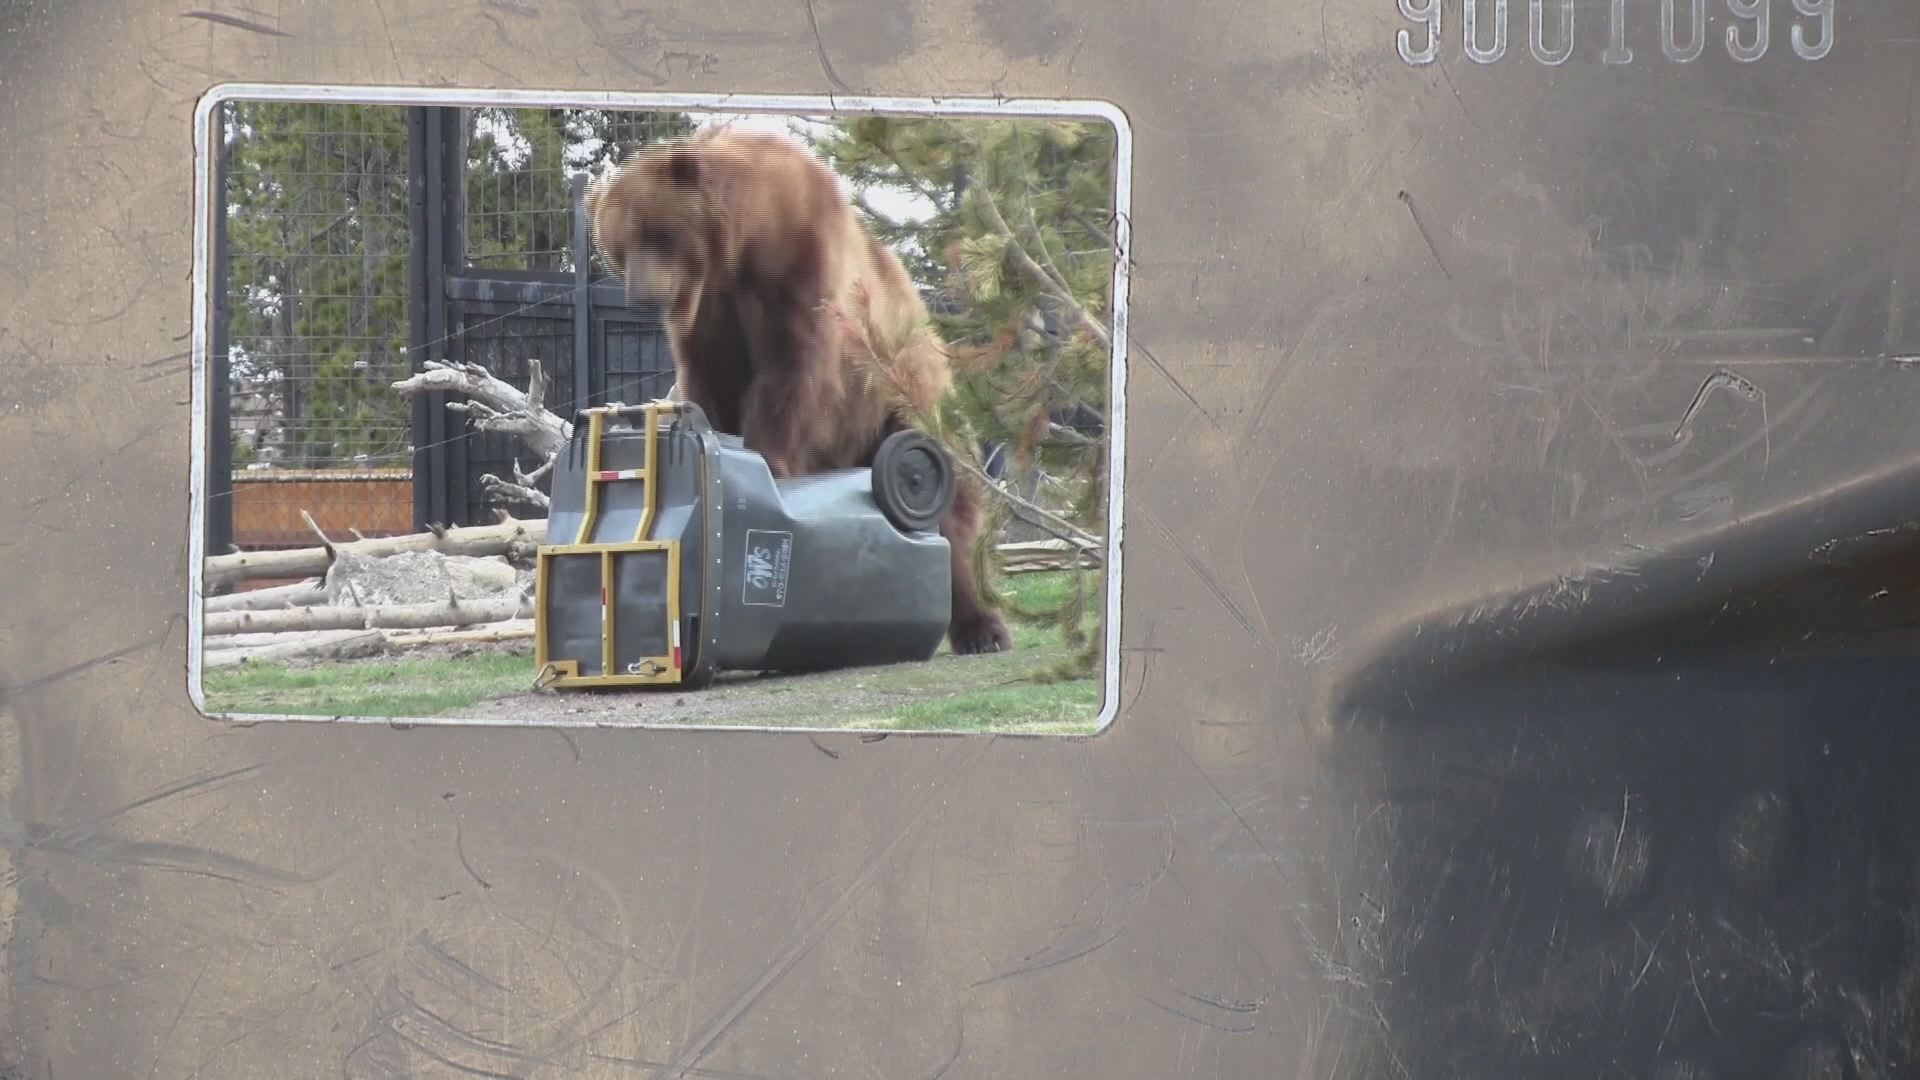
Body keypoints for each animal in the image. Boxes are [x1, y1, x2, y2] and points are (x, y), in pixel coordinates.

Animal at [584, 125, 1014, 656]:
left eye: (656, 232)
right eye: (617, 246)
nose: (642, 298)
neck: (746, 240)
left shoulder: (801, 267)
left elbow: (795, 372)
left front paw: (768, 461)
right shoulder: (708, 318)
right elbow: (709, 382)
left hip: (907, 401)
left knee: (956, 519)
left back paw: (984, 630)